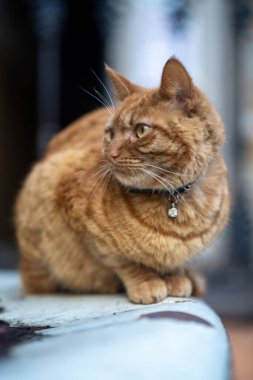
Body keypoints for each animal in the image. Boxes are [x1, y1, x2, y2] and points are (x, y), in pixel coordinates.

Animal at [14, 58, 230, 304]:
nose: (110, 155)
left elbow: (175, 262)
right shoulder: (86, 228)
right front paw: (146, 282)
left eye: (141, 130)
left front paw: (176, 276)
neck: (172, 197)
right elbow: (124, 261)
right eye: (110, 133)